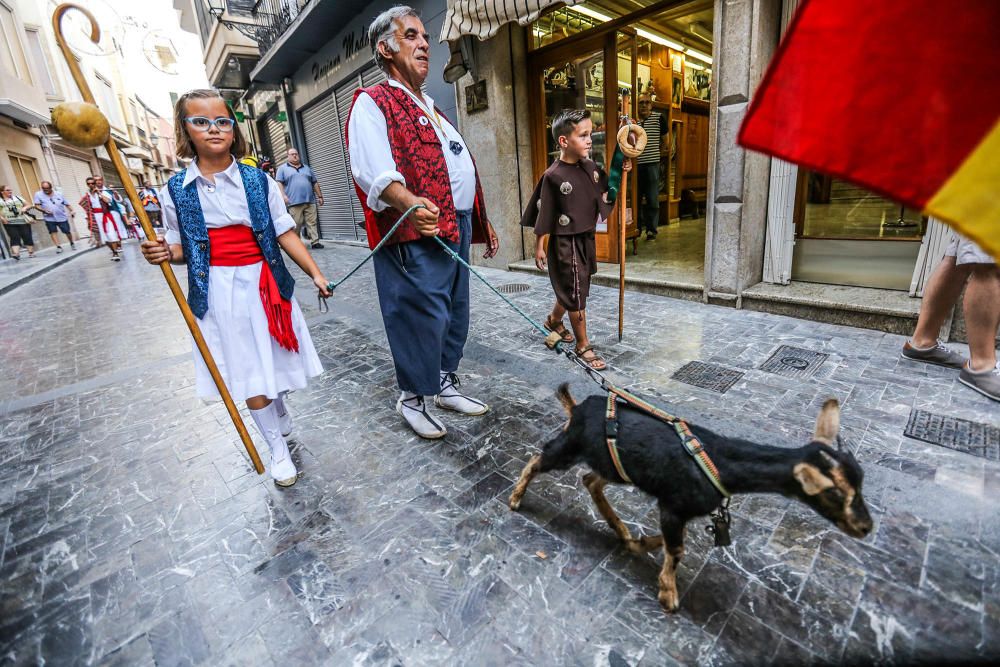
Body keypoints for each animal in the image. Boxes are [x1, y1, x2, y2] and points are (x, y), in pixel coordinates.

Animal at [512, 384, 872, 612]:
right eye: (834, 492)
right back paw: (516, 498)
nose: (866, 527)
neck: (720, 463)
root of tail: (578, 408)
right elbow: (677, 550)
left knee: (591, 481)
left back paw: (624, 533)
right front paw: (668, 593)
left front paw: (644, 544)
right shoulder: (672, 506)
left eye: (861, 479)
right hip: (570, 447)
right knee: (539, 459)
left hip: (611, 464)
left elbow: (671, 543)